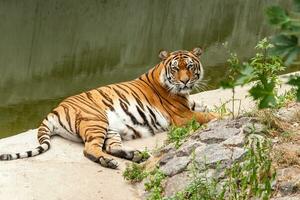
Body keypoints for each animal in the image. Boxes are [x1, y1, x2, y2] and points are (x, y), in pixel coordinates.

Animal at [0, 47, 216, 168]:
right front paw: (220, 116)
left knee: (111, 147)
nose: (185, 81)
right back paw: (110, 162)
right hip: (96, 120)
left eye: (190, 67)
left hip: (110, 129)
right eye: (176, 68)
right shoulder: (182, 115)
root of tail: (53, 110)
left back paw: (135, 155)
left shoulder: (190, 104)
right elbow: (208, 116)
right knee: (90, 149)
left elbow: (204, 106)